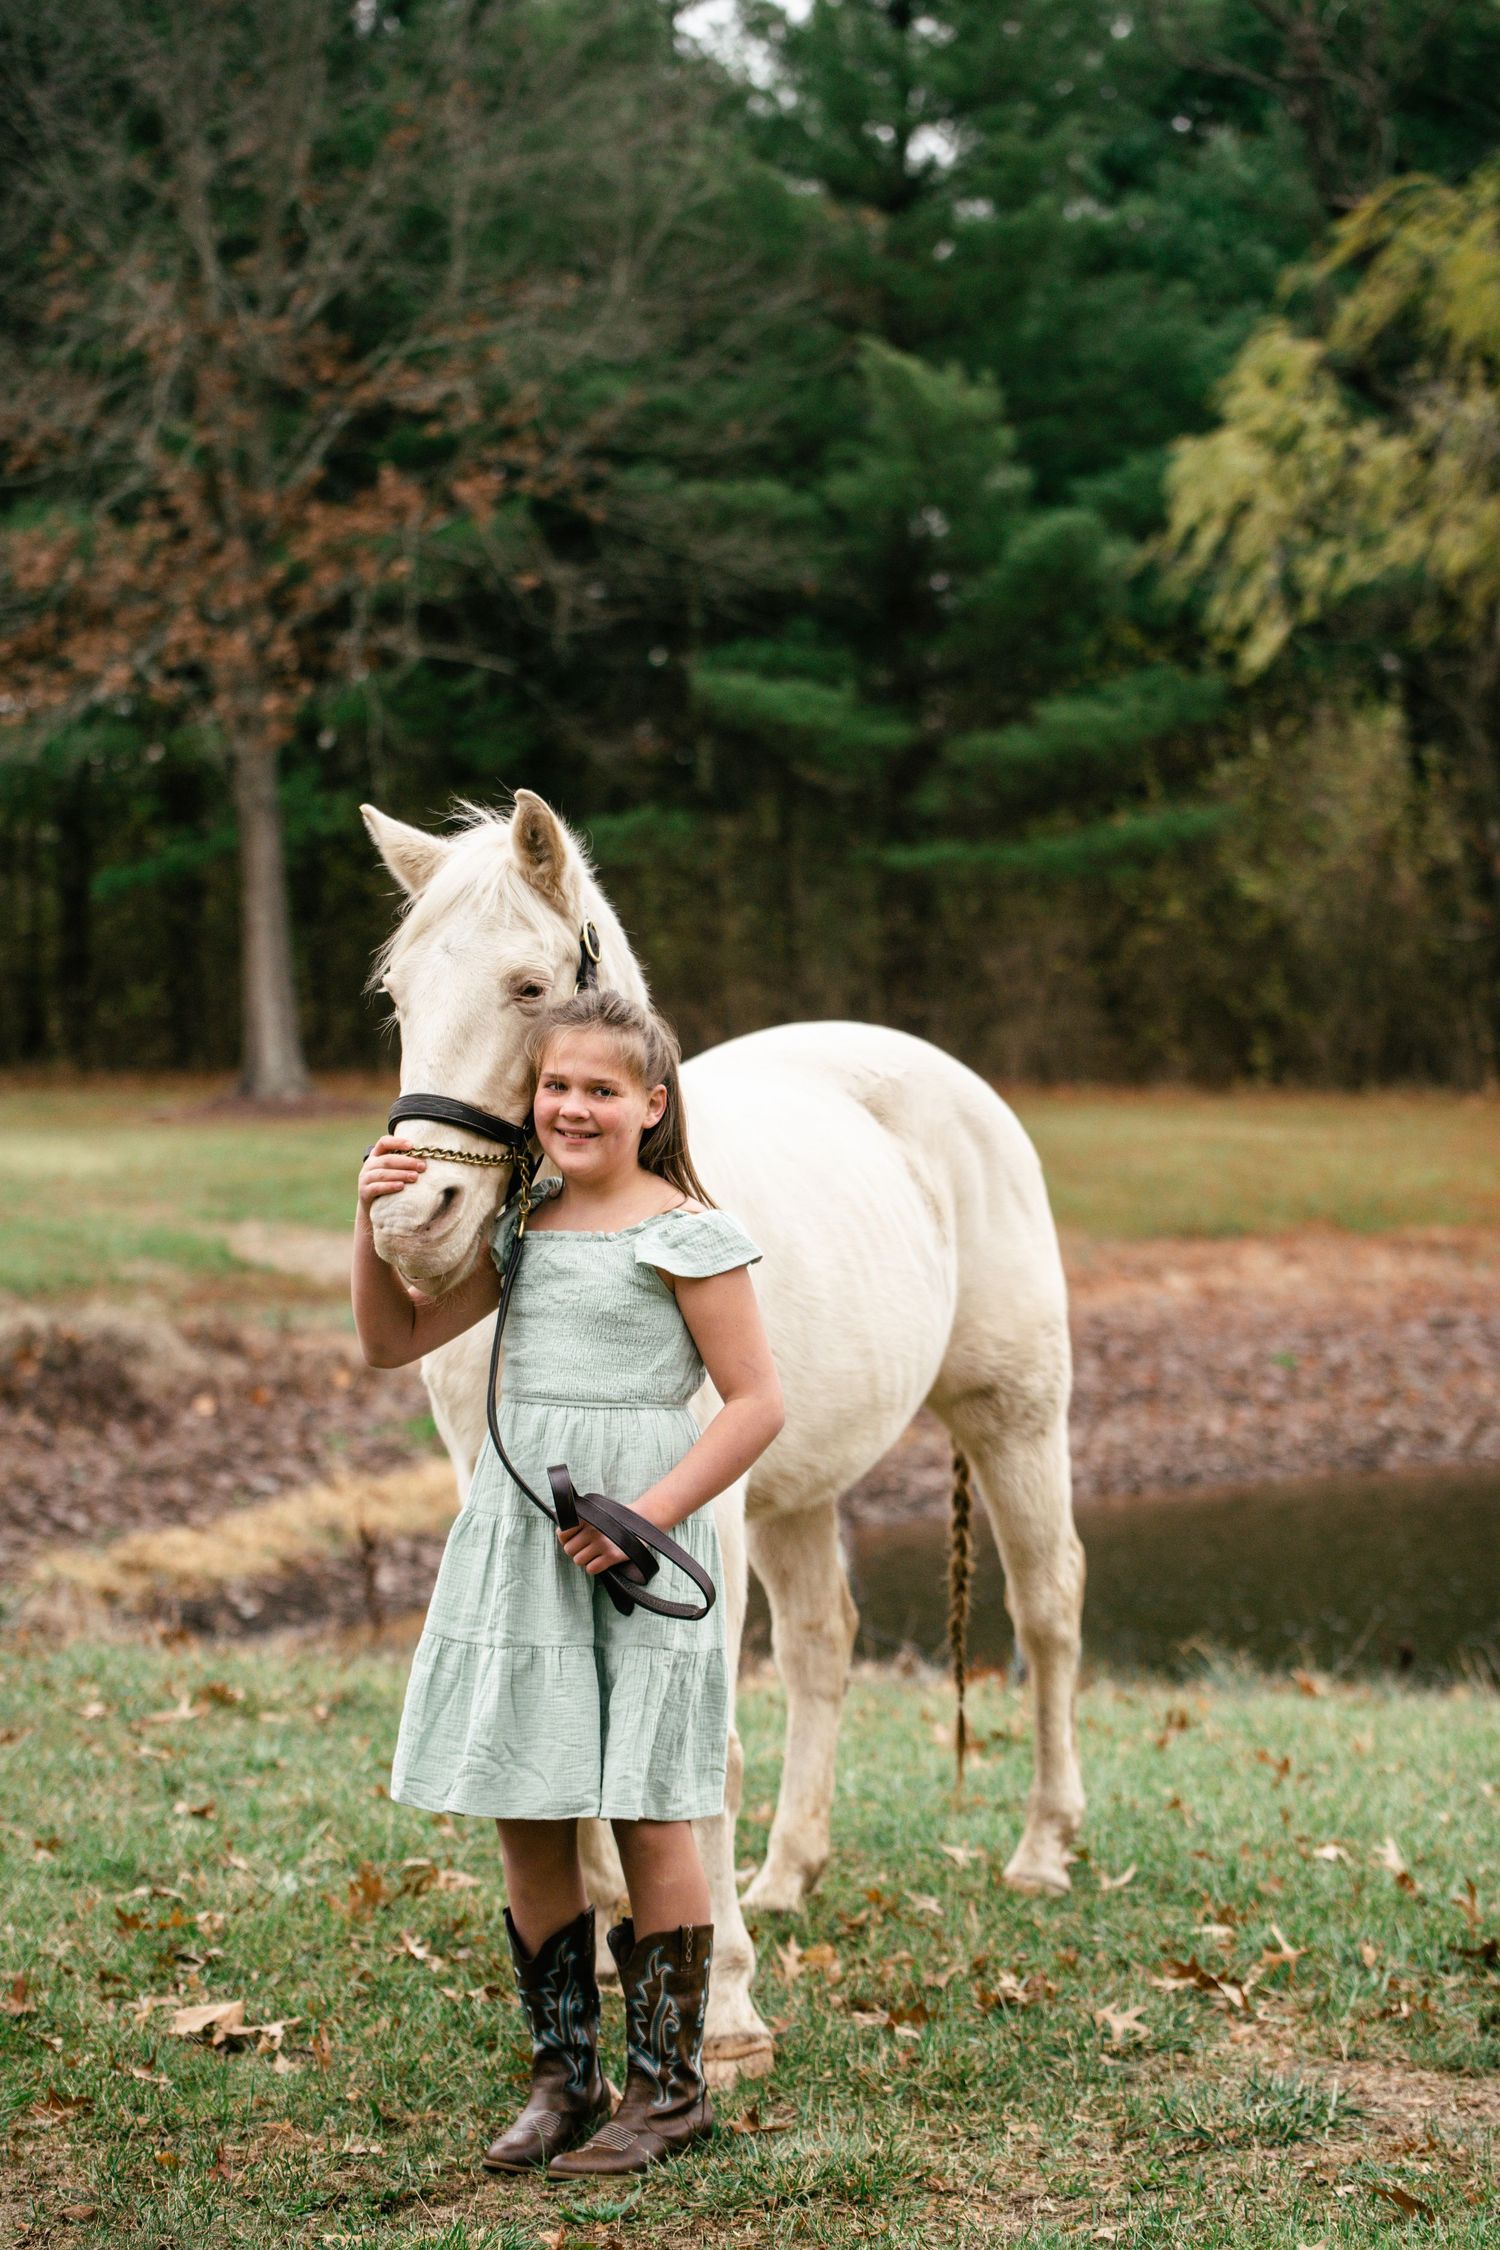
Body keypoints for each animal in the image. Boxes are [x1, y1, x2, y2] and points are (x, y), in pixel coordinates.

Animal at [361, 789, 1085, 2082]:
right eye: (399, 996)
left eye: (529, 987)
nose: (411, 1224)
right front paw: (611, 1943)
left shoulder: (693, 1519)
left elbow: (706, 1751)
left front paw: (729, 2001)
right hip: (800, 1493)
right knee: (822, 1647)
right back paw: (790, 1873)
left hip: (1012, 1415)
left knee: (1047, 1609)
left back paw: (1043, 1850)